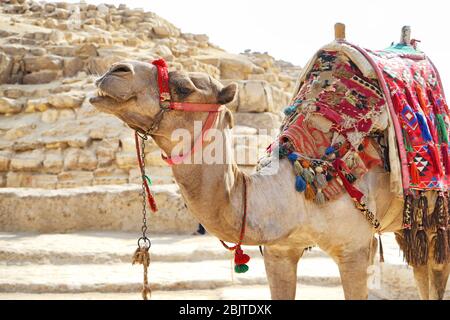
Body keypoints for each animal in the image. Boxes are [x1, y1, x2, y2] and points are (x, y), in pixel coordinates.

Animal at [89, 43, 450, 298]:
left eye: (187, 85)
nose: (115, 70)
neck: (300, 193)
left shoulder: (356, 250)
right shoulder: (279, 252)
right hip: (414, 221)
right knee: (424, 268)